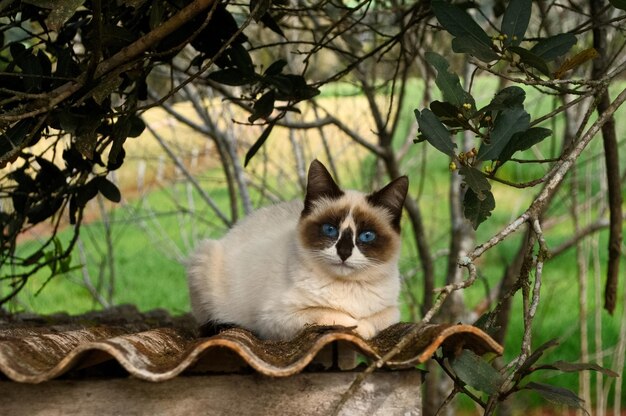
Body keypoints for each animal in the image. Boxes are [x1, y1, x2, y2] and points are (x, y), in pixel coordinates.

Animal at [185, 161, 410, 340]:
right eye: (330, 230)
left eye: (367, 236)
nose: (344, 253)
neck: (349, 288)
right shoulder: (278, 318)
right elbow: (337, 317)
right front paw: (362, 327)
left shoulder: (392, 310)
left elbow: (380, 318)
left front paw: (367, 325)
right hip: (204, 256)